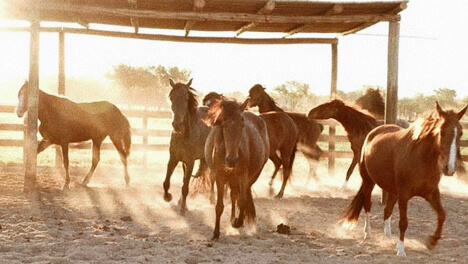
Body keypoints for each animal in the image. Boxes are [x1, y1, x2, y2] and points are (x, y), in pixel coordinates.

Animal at [163, 78, 210, 214]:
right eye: (172, 97)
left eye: (186, 98)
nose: (177, 125)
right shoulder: (174, 159)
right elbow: (167, 182)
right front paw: (168, 197)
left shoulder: (190, 162)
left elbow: (185, 187)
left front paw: (183, 208)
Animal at [203, 98, 268, 239]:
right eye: (223, 124)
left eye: (242, 124)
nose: (232, 160)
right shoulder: (220, 177)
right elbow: (219, 206)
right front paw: (216, 232)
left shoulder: (243, 176)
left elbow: (242, 200)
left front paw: (238, 222)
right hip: (231, 179)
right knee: (233, 195)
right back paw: (233, 218)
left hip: (251, 175)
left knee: (240, 195)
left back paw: (237, 219)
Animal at [342, 101, 466, 256]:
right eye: (441, 132)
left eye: (460, 133)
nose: (449, 168)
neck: (421, 159)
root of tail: (373, 133)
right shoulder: (404, 195)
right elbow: (403, 222)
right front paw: (401, 249)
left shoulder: (431, 193)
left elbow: (442, 215)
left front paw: (432, 241)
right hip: (369, 182)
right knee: (367, 205)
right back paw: (368, 233)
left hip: (392, 190)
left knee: (387, 210)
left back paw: (388, 236)